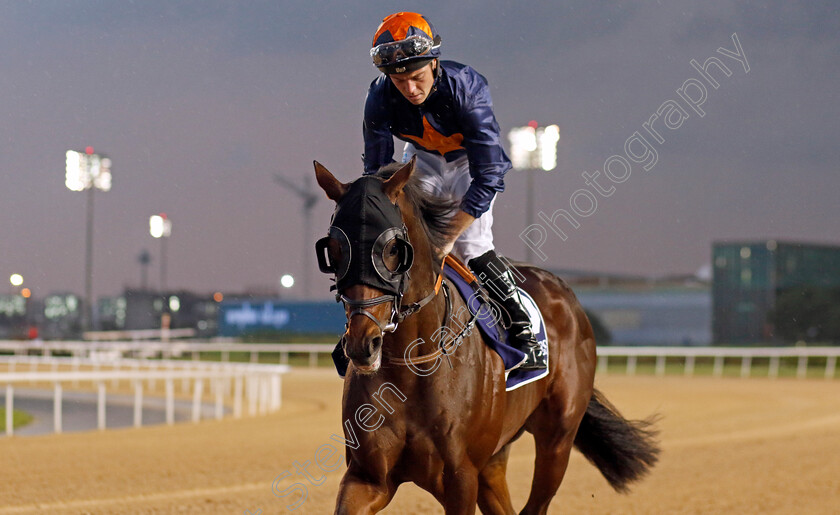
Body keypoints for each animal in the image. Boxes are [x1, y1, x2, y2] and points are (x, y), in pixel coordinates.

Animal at [314, 158, 656, 515]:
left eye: (393, 248)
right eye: (334, 250)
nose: (362, 344)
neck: (412, 366)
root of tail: (566, 295)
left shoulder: (461, 479)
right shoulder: (366, 478)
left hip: (557, 440)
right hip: (494, 458)